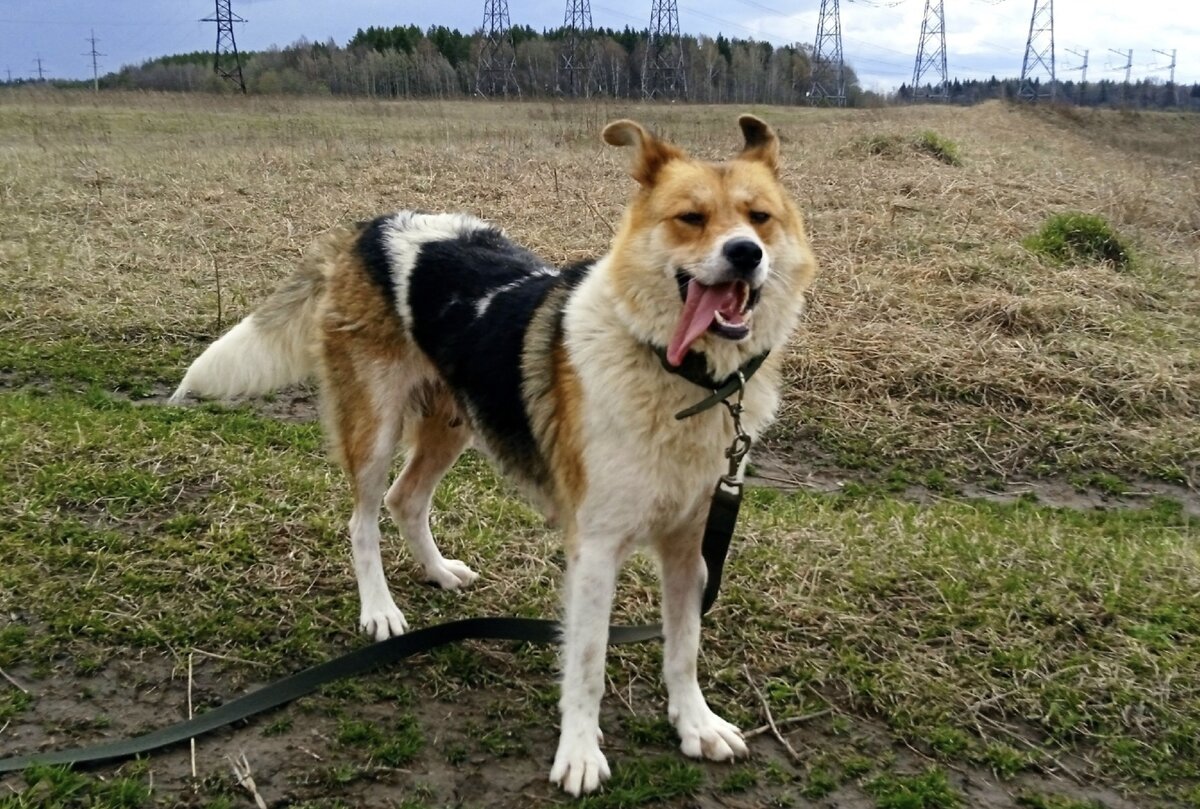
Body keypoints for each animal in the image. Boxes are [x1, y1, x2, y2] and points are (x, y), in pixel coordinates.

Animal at [171, 116, 816, 792]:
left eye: (760, 217)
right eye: (691, 218)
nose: (746, 253)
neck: (680, 373)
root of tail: (372, 227)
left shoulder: (691, 546)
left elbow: (684, 646)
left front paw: (695, 724)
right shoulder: (596, 549)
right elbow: (587, 663)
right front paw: (579, 753)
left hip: (454, 422)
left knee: (406, 500)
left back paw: (438, 571)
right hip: (374, 426)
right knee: (363, 519)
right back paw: (380, 610)